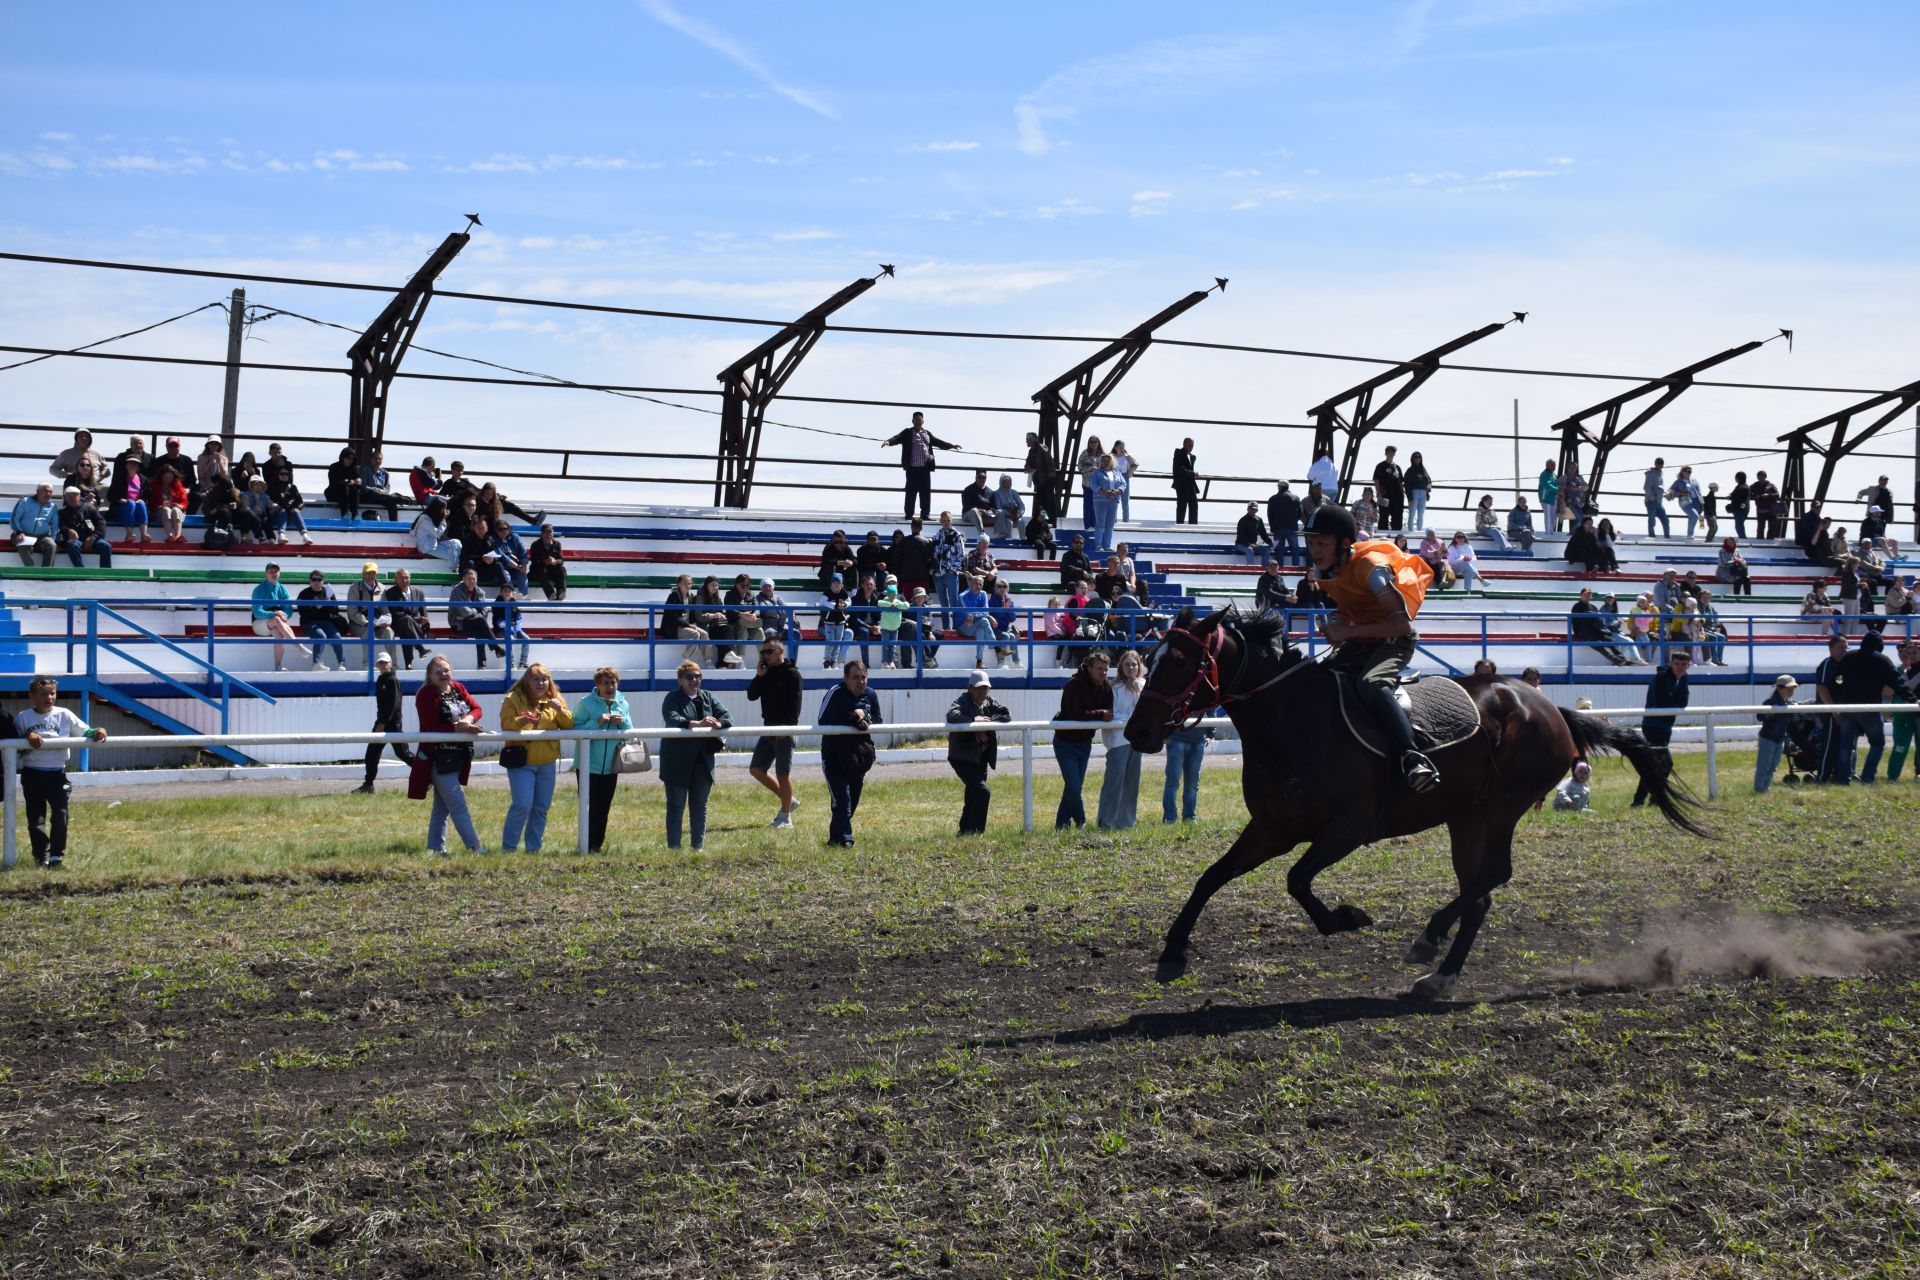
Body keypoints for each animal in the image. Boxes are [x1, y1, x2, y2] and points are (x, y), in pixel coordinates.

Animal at [1121, 610, 1712, 997]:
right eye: (1149, 659)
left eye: (1181, 660)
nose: (1137, 732)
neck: (1292, 721)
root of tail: (1550, 707)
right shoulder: (1272, 829)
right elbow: (1211, 878)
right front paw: (1173, 952)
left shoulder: (1348, 828)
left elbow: (1297, 881)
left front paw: (1346, 918)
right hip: (1467, 816)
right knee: (1482, 890)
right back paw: (1440, 969)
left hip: (1499, 808)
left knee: (1492, 876)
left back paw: (1430, 942)